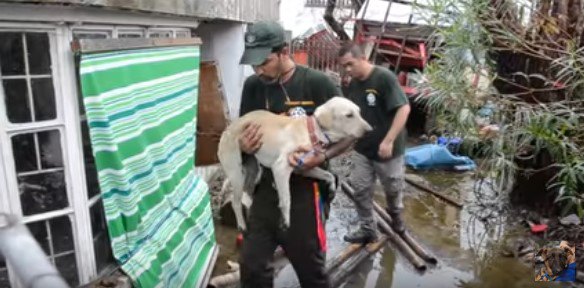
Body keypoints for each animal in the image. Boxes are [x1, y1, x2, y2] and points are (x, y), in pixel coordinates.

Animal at [217, 95, 372, 231]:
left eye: (359, 112)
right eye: (349, 115)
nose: (370, 130)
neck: (311, 132)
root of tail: (227, 130)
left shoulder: (304, 167)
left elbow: (329, 175)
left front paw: (332, 187)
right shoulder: (280, 168)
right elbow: (286, 200)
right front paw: (285, 221)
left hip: (252, 171)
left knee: (248, 197)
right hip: (236, 174)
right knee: (235, 202)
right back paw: (241, 225)